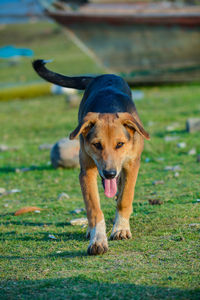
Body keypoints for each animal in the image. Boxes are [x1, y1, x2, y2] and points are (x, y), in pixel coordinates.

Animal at [32, 60, 149, 255]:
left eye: (120, 144)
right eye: (97, 144)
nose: (109, 173)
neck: (108, 107)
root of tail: (100, 76)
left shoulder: (132, 165)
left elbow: (125, 198)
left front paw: (121, 229)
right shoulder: (86, 171)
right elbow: (93, 207)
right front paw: (97, 239)